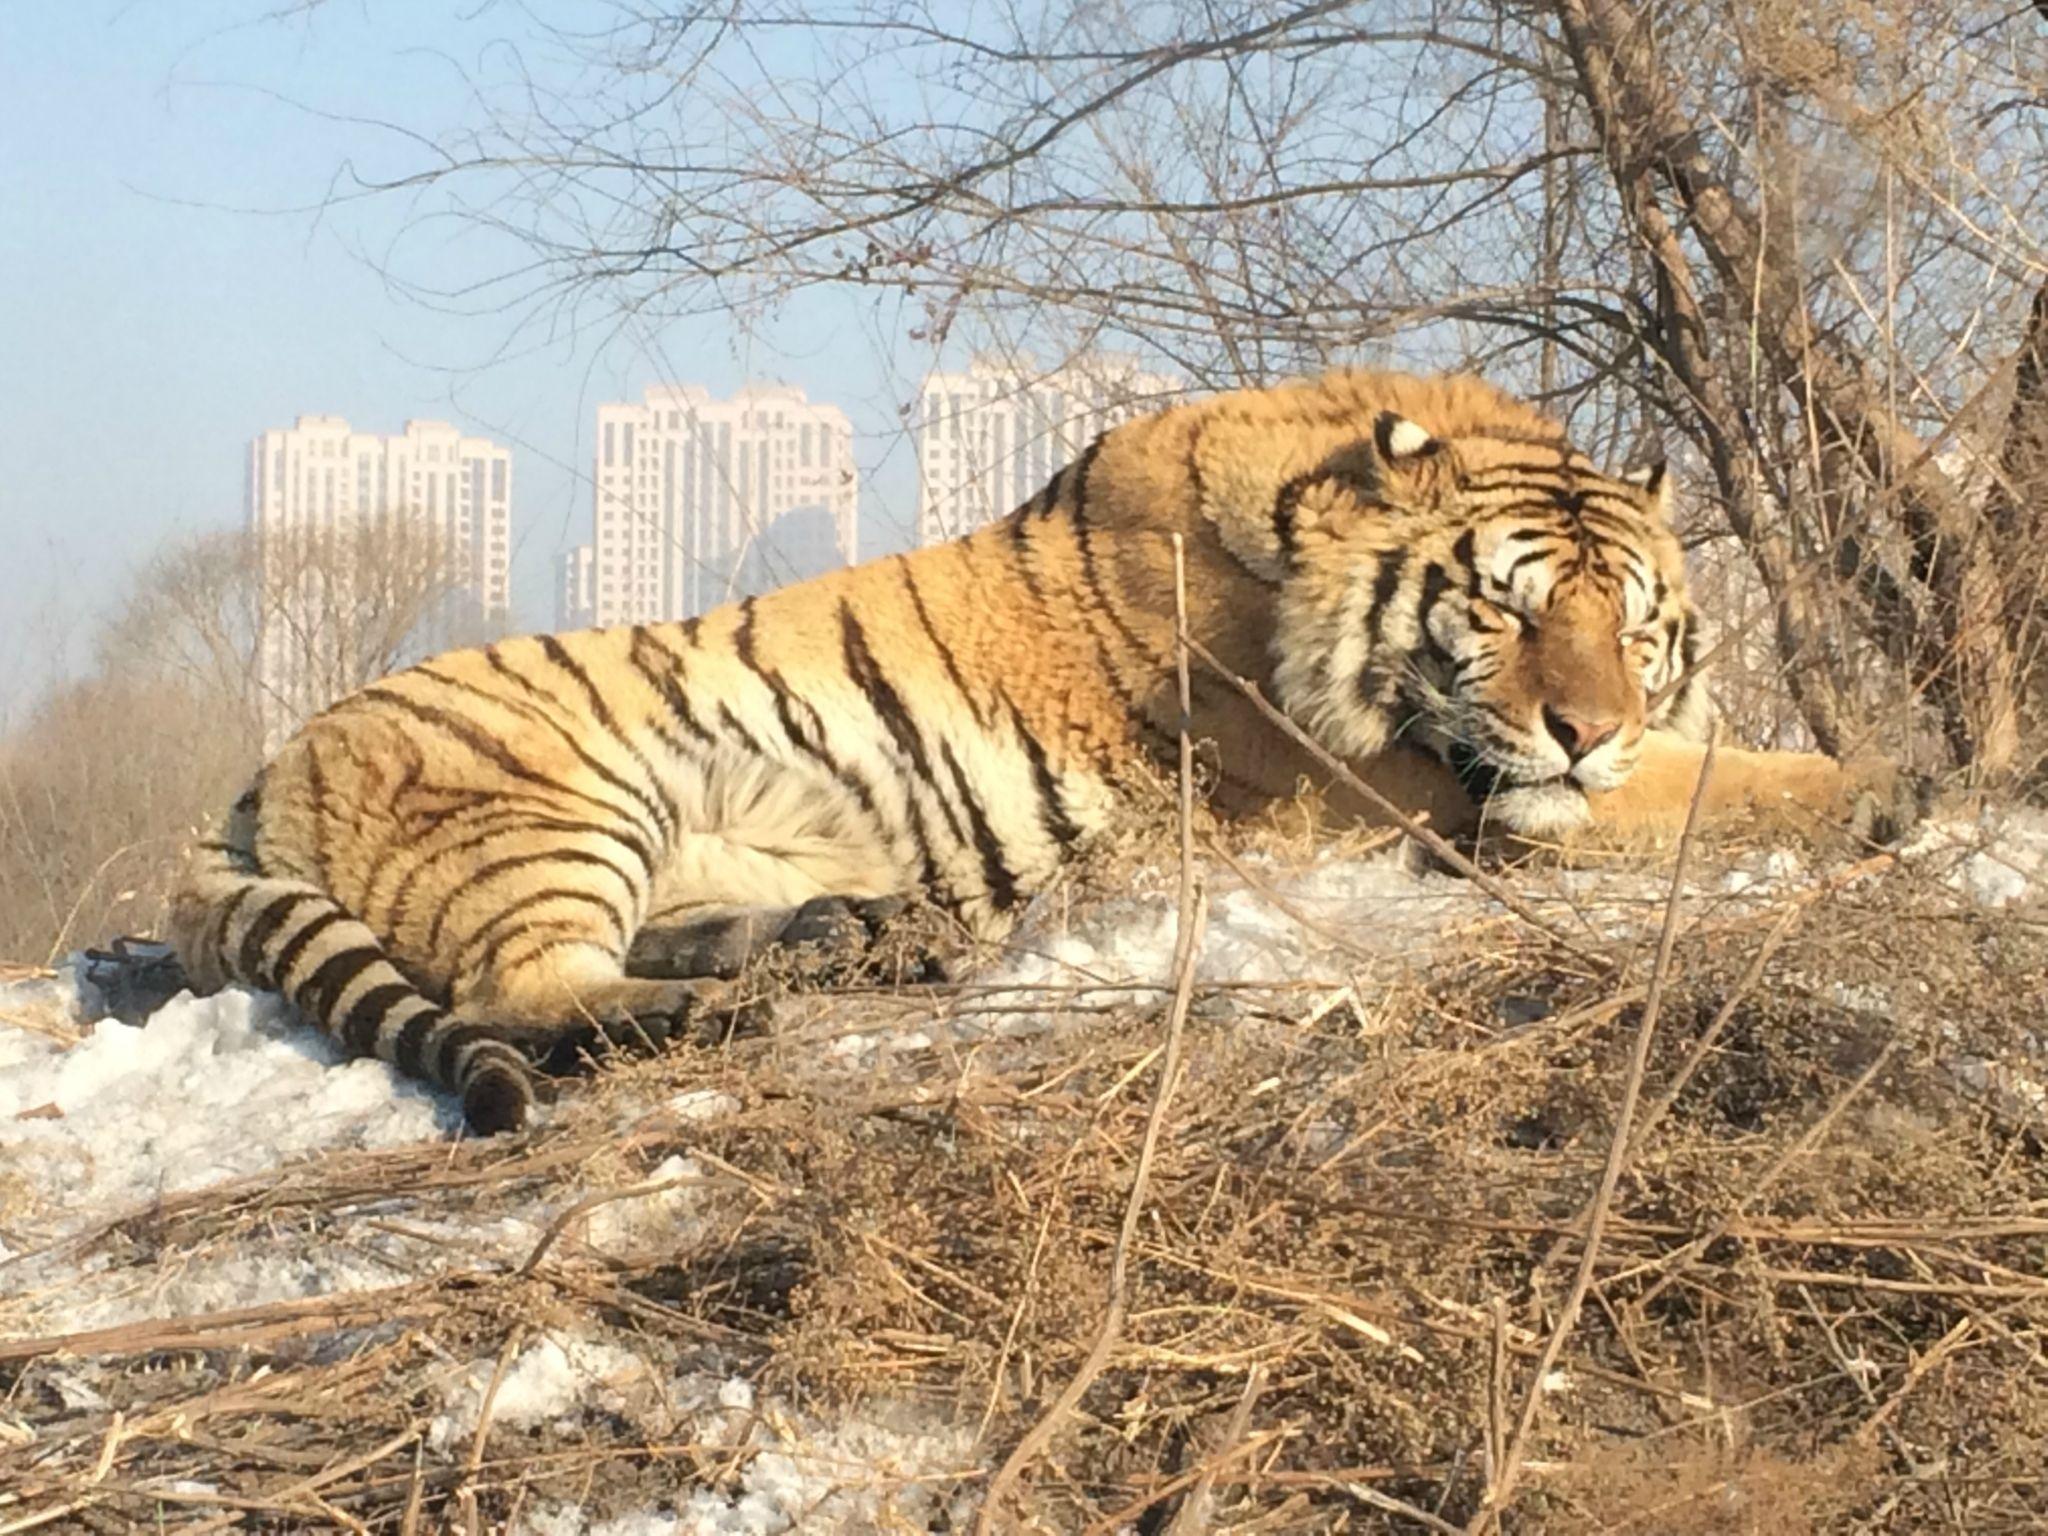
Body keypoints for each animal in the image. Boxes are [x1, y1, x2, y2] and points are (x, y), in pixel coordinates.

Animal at [167, 376, 1875, 1130]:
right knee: (520, 995)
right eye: (1511, 614)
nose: (1590, 727)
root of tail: (258, 771)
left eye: (1634, 626)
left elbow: (1712, 761)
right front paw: (1894, 783)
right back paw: (728, 1012)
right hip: (552, 804)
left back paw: (859, 941)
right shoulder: (1427, 798)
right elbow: (1721, 789)